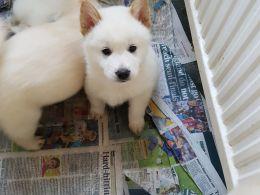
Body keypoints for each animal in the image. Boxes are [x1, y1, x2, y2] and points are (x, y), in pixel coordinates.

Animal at [81, 0, 158, 134]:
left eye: (133, 48)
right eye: (106, 51)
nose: (123, 73)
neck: (117, 86)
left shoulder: (141, 94)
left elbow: (136, 110)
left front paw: (136, 124)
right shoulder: (91, 88)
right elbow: (96, 103)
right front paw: (96, 113)